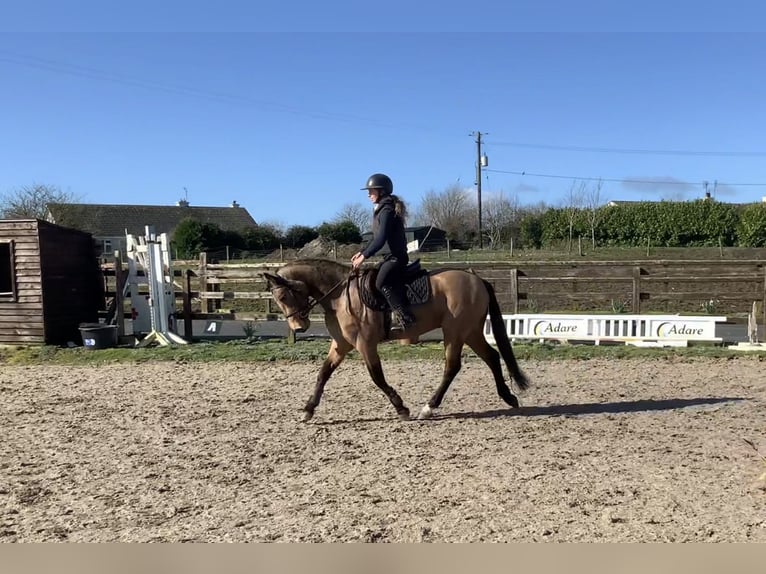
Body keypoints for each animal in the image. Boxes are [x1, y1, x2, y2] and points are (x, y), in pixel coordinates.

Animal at [263, 258, 529, 422]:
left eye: (284, 296)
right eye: (277, 299)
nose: (299, 326)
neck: (338, 296)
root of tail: (477, 279)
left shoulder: (365, 344)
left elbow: (377, 377)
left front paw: (401, 407)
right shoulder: (341, 345)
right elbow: (323, 373)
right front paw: (308, 410)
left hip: (455, 332)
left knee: (452, 366)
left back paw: (429, 407)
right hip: (471, 331)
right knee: (492, 357)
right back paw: (508, 397)